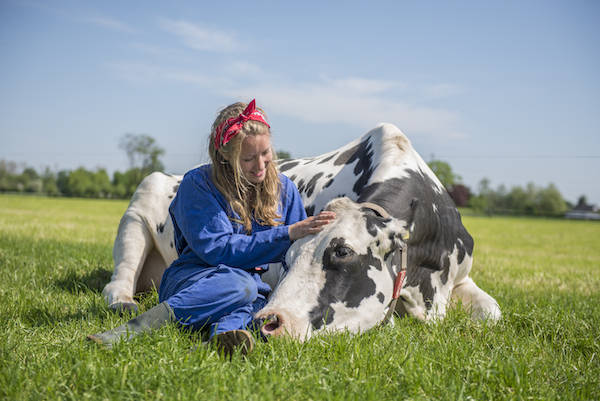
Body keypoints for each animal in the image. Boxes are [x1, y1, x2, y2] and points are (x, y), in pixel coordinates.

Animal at [103, 122, 502, 338]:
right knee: (118, 280)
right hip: (137, 211)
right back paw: (124, 302)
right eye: (288, 257)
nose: (269, 321)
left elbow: (493, 313)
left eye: (342, 252)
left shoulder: (460, 277)